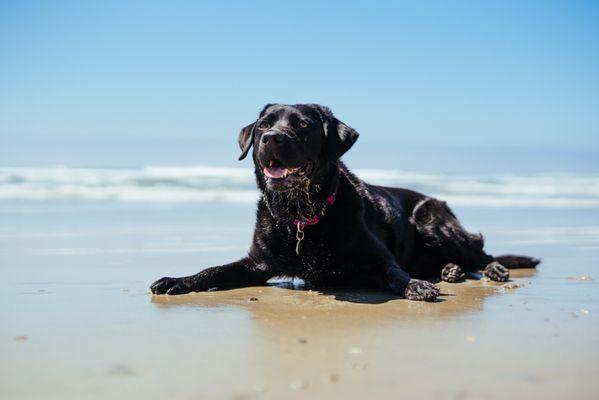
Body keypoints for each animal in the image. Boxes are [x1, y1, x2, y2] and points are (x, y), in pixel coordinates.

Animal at [152, 104, 540, 302]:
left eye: (303, 125)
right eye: (263, 124)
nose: (271, 138)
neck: (302, 216)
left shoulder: (379, 256)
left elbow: (394, 272)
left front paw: (415, 286)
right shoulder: (256, 264)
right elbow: (214, 270)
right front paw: (178, 280)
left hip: (432, 218)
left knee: (481, 253)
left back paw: (490, 270)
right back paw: (451, 271)